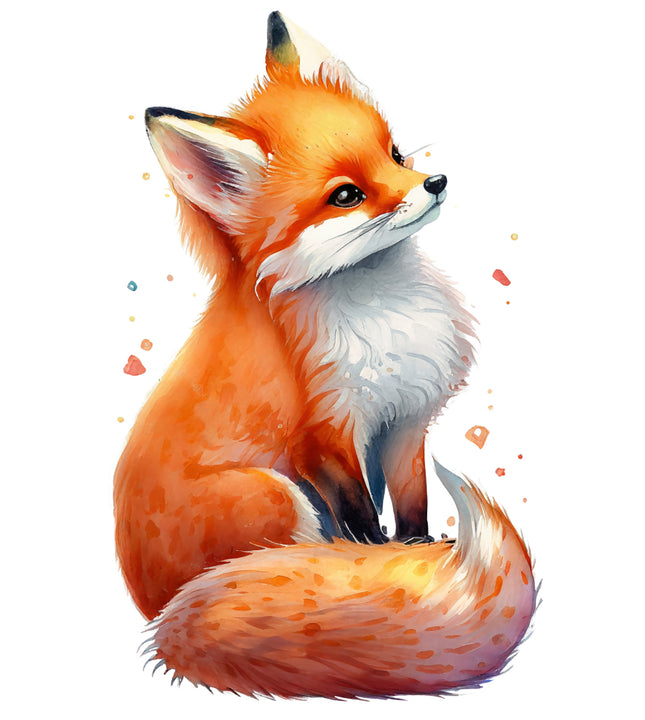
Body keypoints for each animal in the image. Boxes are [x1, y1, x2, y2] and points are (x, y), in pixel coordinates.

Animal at [114, 11, 536, 699]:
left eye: (394, 155)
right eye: (346, 195)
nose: (436, 181)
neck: (386, 313)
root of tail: (156, 613)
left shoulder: (404, 421)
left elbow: (411, 507)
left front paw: (420, 556)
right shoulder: (325, 436)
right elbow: (364, 521)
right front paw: (400, 568)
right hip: (273, 497)